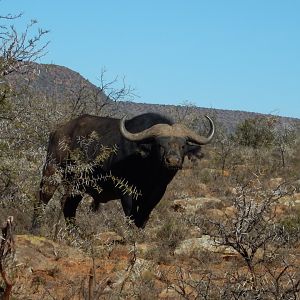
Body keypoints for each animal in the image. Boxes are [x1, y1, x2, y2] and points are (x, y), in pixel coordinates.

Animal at [38, 112, 213, 227]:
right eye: (160, 145)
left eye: (183, 146)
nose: (173, 161)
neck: (150, 173)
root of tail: (57, 131)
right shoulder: (126, 191)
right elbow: (130, 215)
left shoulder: (156, 194)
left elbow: (143, 217)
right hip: (51, 173)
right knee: (43, 200)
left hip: (78, 186)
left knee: (68, 207)